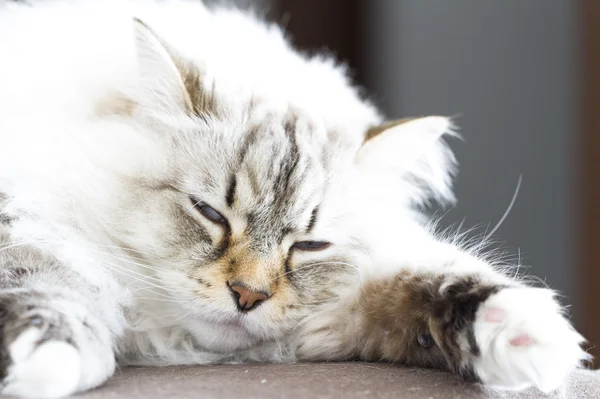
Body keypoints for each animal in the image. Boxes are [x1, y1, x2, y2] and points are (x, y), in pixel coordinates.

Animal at [0, 0, 592, 399]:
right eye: (210, 213)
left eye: (310, 246)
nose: (248, 296)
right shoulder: (27, 218)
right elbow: (52, 284)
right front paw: (46, 359)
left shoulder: (344, 312)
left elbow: (436, 280)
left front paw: (528, 337)